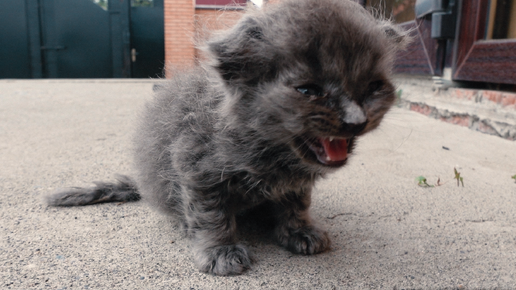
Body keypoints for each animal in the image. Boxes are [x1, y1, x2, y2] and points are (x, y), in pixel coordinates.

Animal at [46, 0, 408, 276]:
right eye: (309, 90)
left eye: (373, 87)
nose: (355, 121)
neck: (270, 152)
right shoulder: (196, 169)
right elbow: (211, 216)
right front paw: (219, 250)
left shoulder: (295, 183)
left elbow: (295, 204)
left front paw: (298, 230)